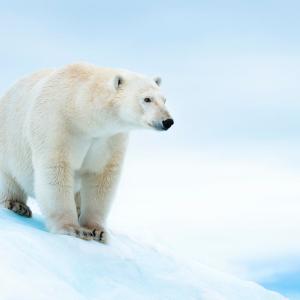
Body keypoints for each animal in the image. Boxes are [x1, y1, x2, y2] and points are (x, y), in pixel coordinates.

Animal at [0, 62, 173, 241]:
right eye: (147, 99)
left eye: (164, 99)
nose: (167, 121)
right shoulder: (57, 124)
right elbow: (56, 169)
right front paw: (73, 229)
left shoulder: (109, 138)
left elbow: (101, 177)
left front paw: (97, 231)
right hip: (8, 143)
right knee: (9, 178)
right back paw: (17, 205)